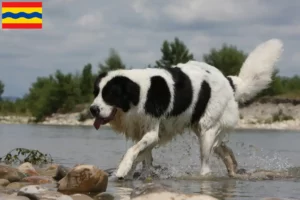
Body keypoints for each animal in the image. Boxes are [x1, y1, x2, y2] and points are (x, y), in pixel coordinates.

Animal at [89, 39, 284, 180]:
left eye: (110, 95)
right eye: (96, 92)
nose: (92, 109)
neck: (137, 94)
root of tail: (228, 80)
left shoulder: (152, 132)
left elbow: (133, 151)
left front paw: (122, 170)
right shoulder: (142, 132)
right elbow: (143, 156)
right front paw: (137, 174)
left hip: (207, 130)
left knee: (206, 163)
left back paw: (204, 176)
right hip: (205, 128)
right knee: (223, 149)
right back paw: (233, 170)